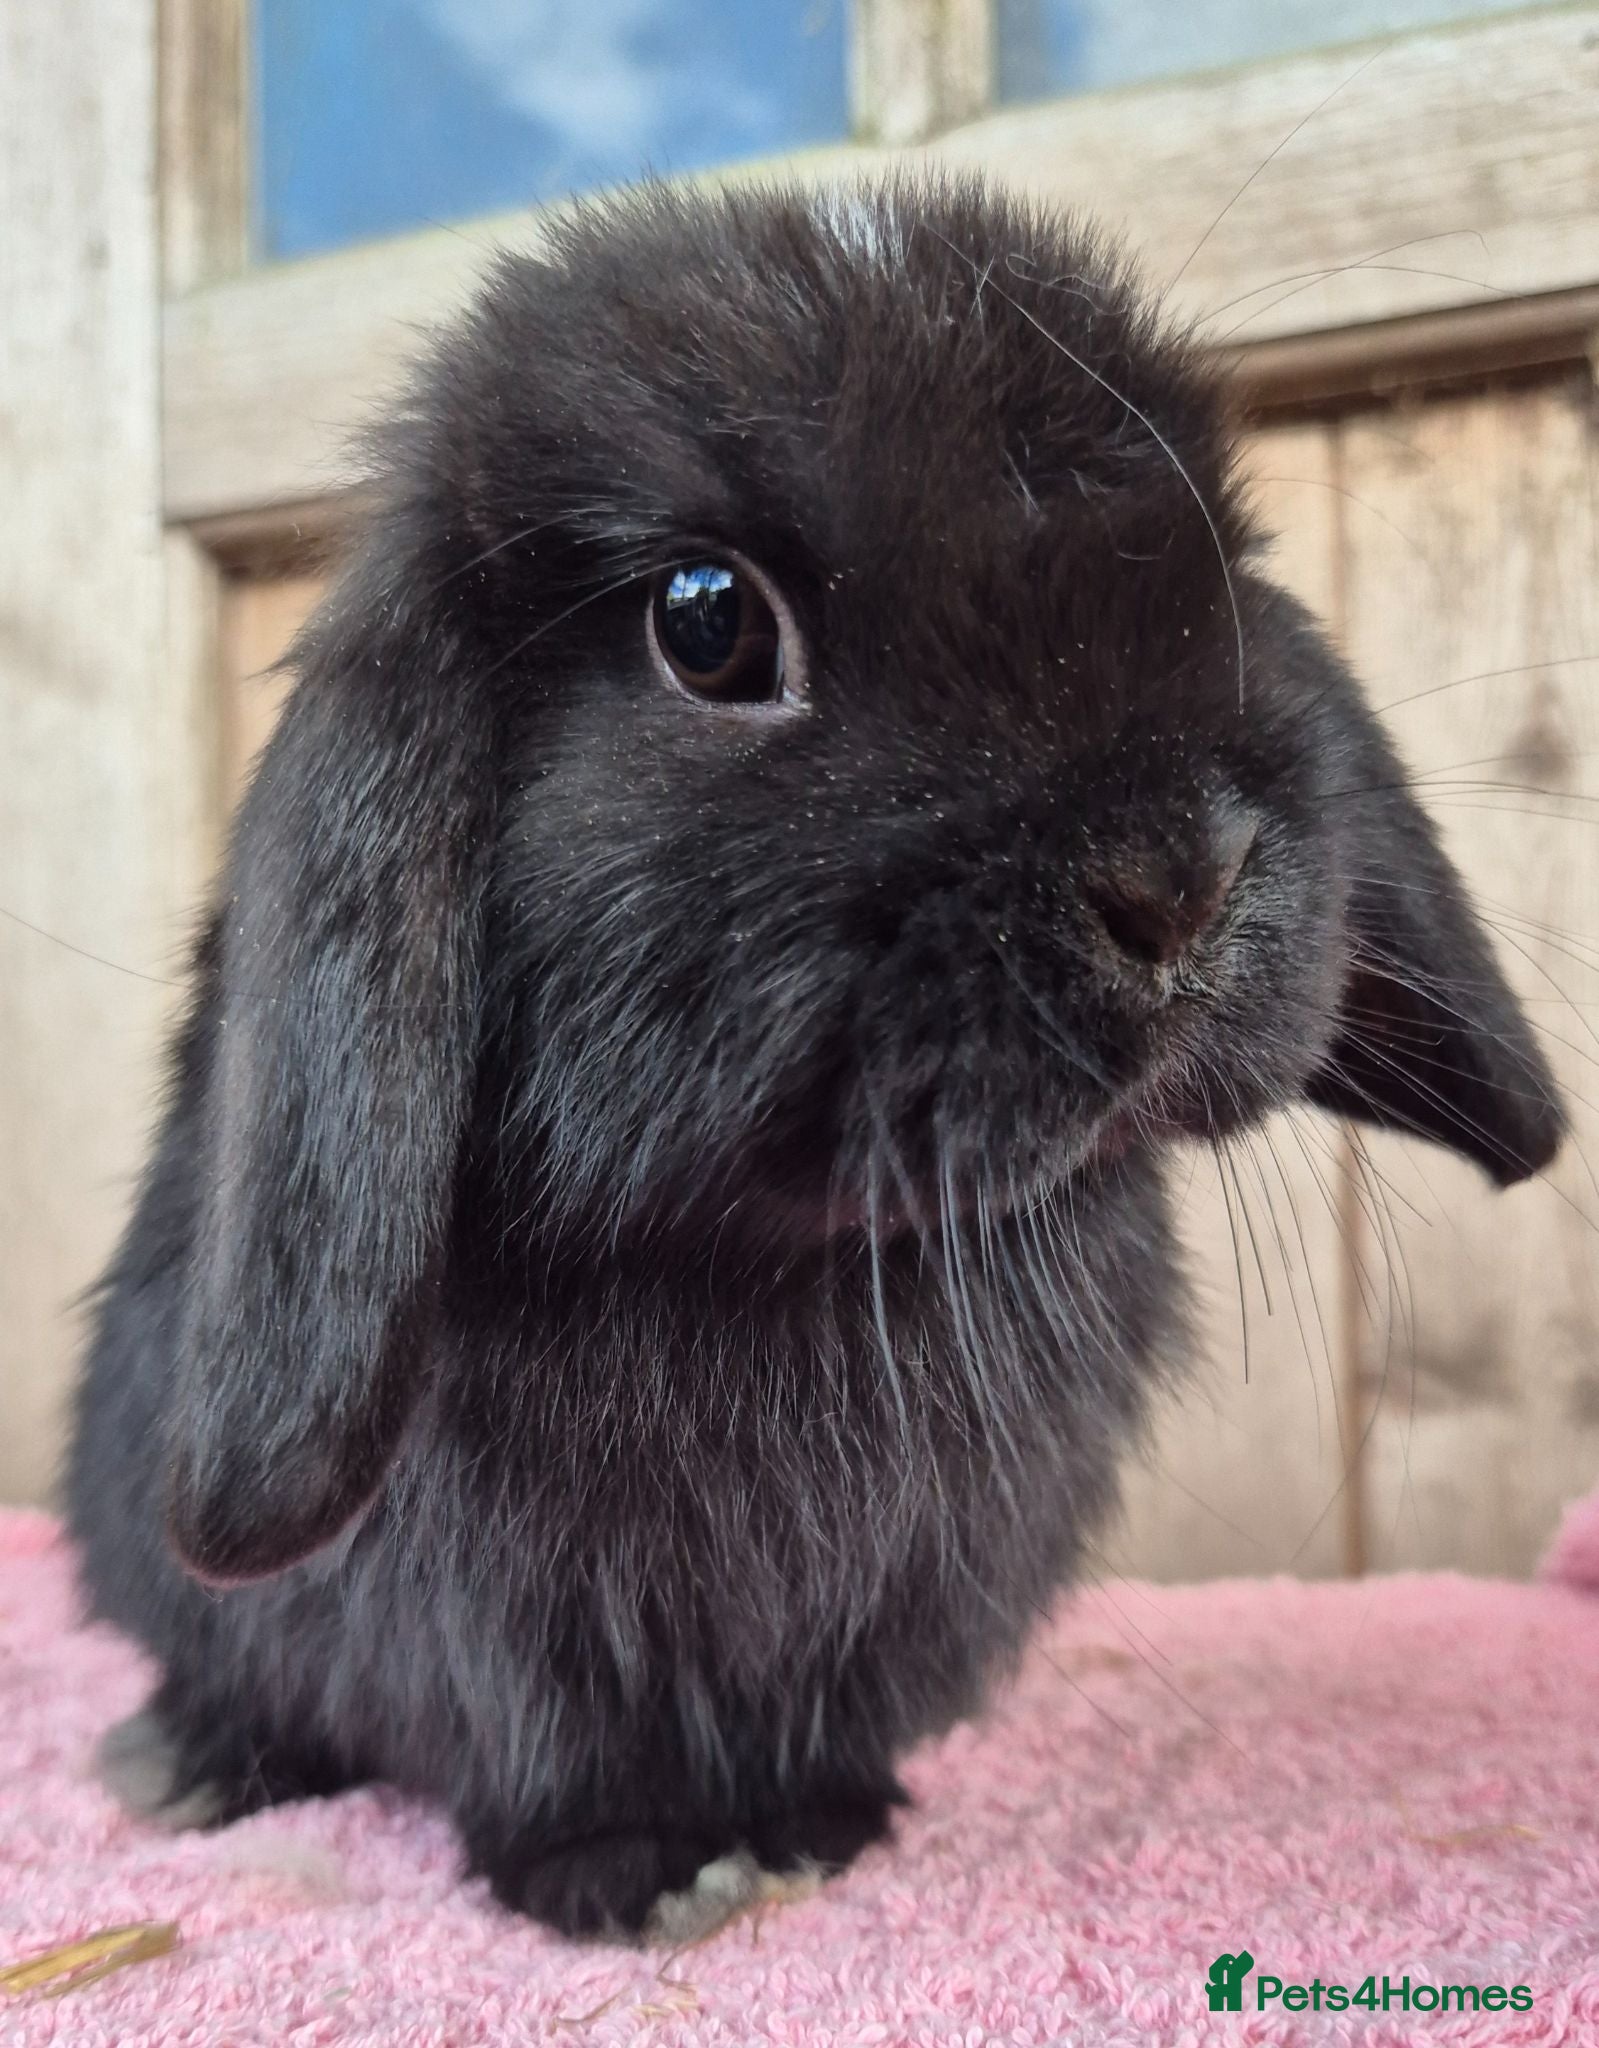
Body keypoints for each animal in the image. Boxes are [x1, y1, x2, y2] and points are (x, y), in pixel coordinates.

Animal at [67, 176, 1564, 1943]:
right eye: (707, 622)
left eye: (1221, 576)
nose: (1177, 878)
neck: (787, 1262)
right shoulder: (499, 1627)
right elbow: (547, 1759)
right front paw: (638, 1881)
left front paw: (818, 1828)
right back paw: (183, 1763)